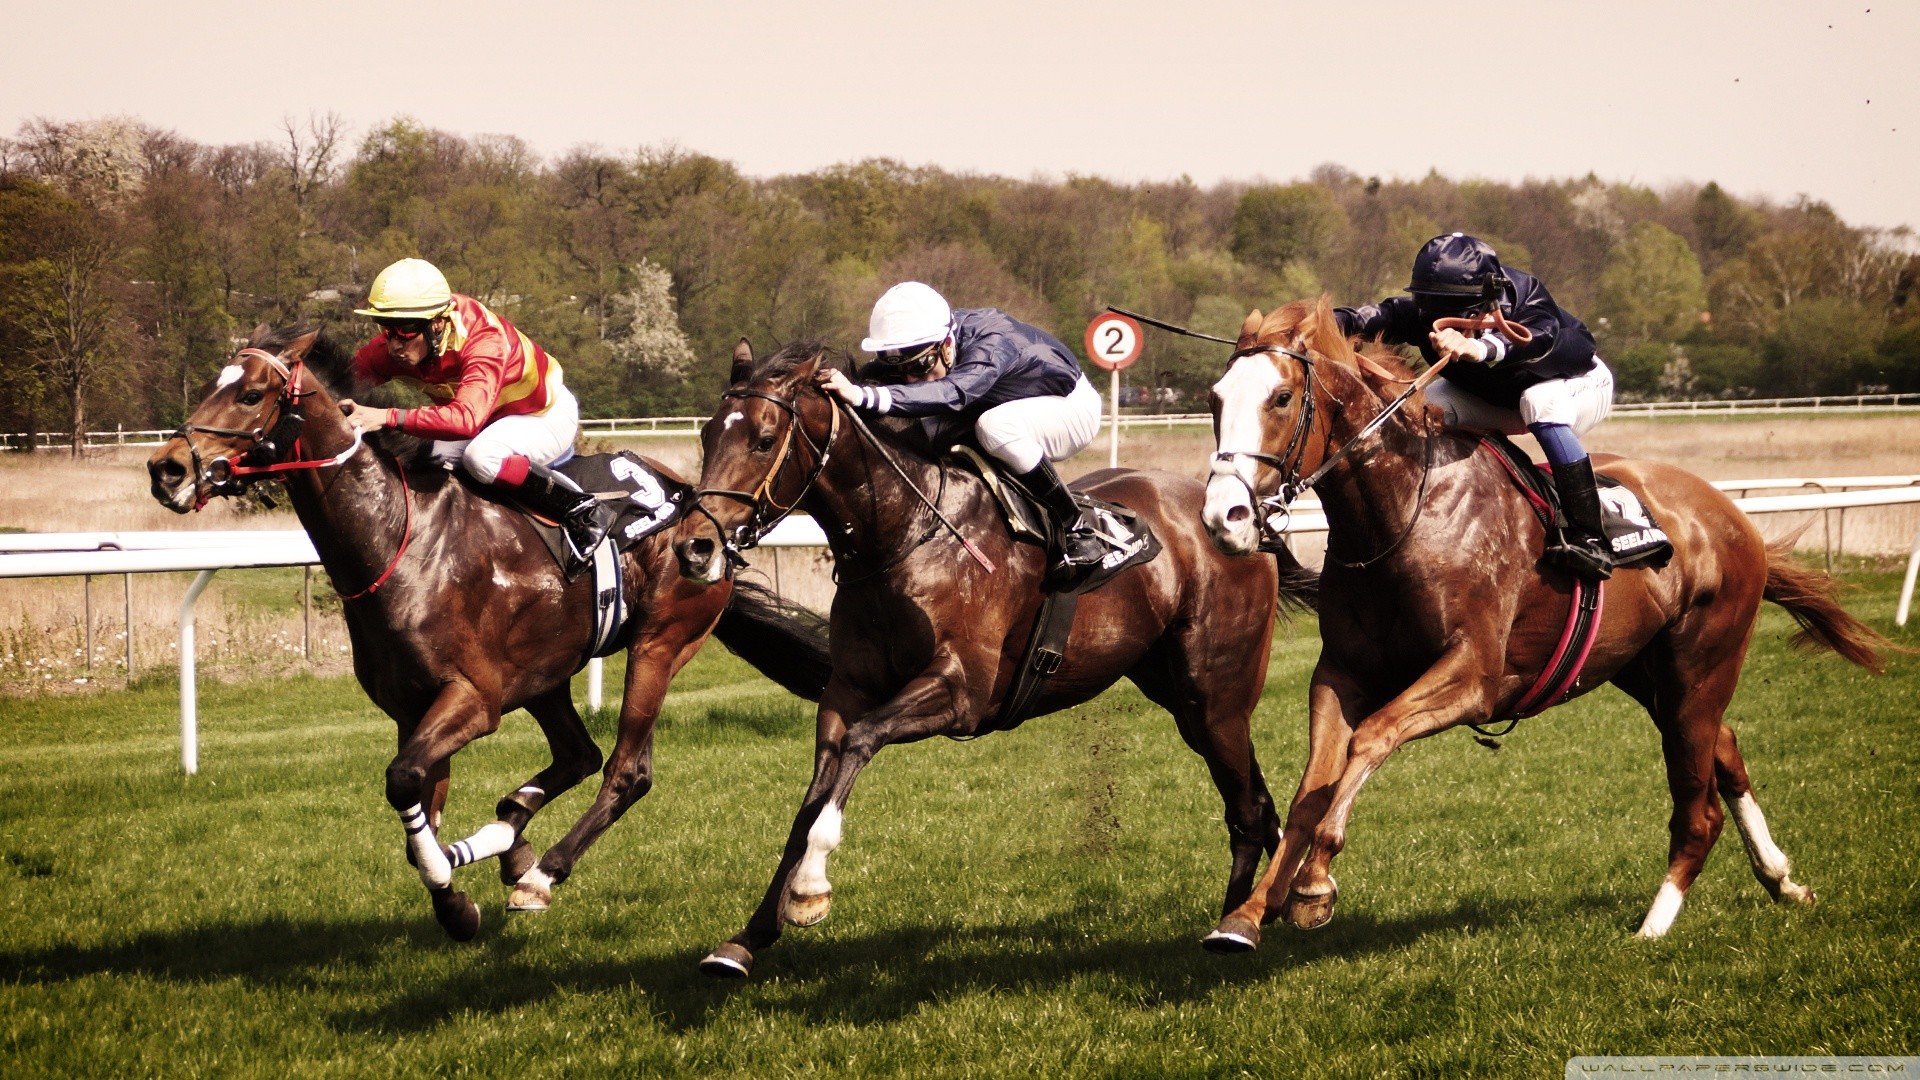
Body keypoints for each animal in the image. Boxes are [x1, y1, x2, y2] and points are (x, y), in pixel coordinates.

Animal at [145, 322, 837, 937]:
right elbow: (416, 810)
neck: (397, 539)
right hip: (543, 673)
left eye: (250, 394)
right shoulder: (413, 709)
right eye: (210, 384)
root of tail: (699, 508)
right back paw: (511, 839)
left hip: (659, 643)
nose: (166, 468)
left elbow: (402, 780)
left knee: (624, 770)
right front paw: (461, 879)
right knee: (578, 755)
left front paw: (456, 897)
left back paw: (540, 872)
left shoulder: (472, 699)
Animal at [672, 338, 1320, 976]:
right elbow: (812, 798)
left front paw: (810, 888)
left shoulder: (961, 692)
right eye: (706, 436)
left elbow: (861, 740)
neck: (902, 536)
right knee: (1256, 803)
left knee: (1248, 809)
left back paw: (1237, 926)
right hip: (1183, 698)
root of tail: (1244, 522)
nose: (694, 546)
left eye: (762, 438)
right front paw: (748, 937)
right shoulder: (846, 690)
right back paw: (1268, 908)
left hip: (1217, 695)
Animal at [1198, 297, 1889, 945]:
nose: (1224, 517)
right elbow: (1312, 786)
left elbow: (1372, 737)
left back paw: (1655, 924)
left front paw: (1314, 884)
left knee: (1698, 809)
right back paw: (1782, 879)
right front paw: (1251, 913)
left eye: (1281, 397)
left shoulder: (1472, 676)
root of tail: (1731, 514)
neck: (1404, 513)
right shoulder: (1341, 672)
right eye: (1214, 399)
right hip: (1647, 671)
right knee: (1727, 748)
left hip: (1702, 665)